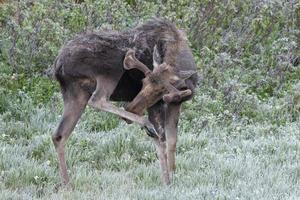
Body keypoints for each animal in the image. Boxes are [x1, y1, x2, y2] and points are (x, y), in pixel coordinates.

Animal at [52, 17, 198, 186]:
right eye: (143, 81)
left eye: (162, 92)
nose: (131, 108)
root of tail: (58, 63)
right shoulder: (157, 106)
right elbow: (161, 140)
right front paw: (167, 181)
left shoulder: (175, 104)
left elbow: (173, 141)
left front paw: (172, 177)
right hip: (111, 70)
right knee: (98, 99)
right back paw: (144, 122)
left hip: (75, 93)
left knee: (59, 135)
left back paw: (67, 184)